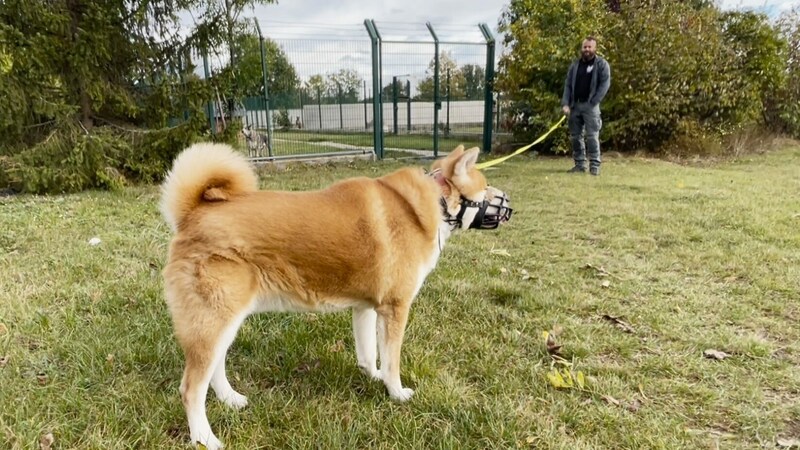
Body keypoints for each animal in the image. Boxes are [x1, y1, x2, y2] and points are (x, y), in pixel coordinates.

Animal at [159, 142, 516, 448]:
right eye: (486, 187)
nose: (509, 206)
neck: (437, 202)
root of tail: (192, 213)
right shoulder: (396, 309)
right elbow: (392, 361)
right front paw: (396, 392)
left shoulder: (367, 309)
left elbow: (369, 354)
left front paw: (373, 378)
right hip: (213, 322)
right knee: (191, 389)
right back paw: (205, 439)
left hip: (224, 321)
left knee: (214, 370)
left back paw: (230, 400)